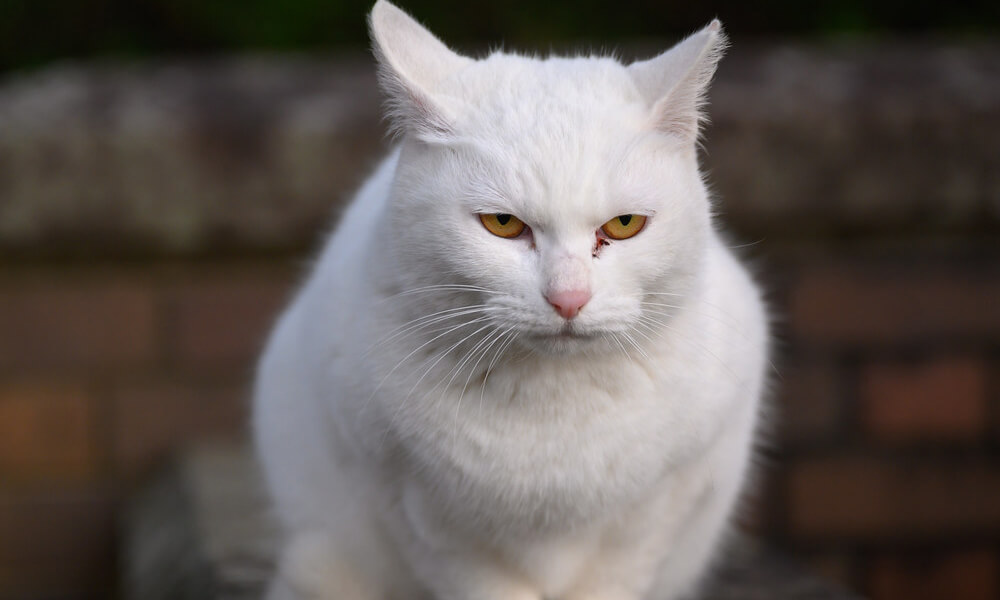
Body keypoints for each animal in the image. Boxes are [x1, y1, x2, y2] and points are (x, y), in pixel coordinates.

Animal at [254, 2, 768, 596]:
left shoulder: (663, 507)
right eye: (502, 223)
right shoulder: (414, 508)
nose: (568, 298)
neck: (555, 406)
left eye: (624, 225)